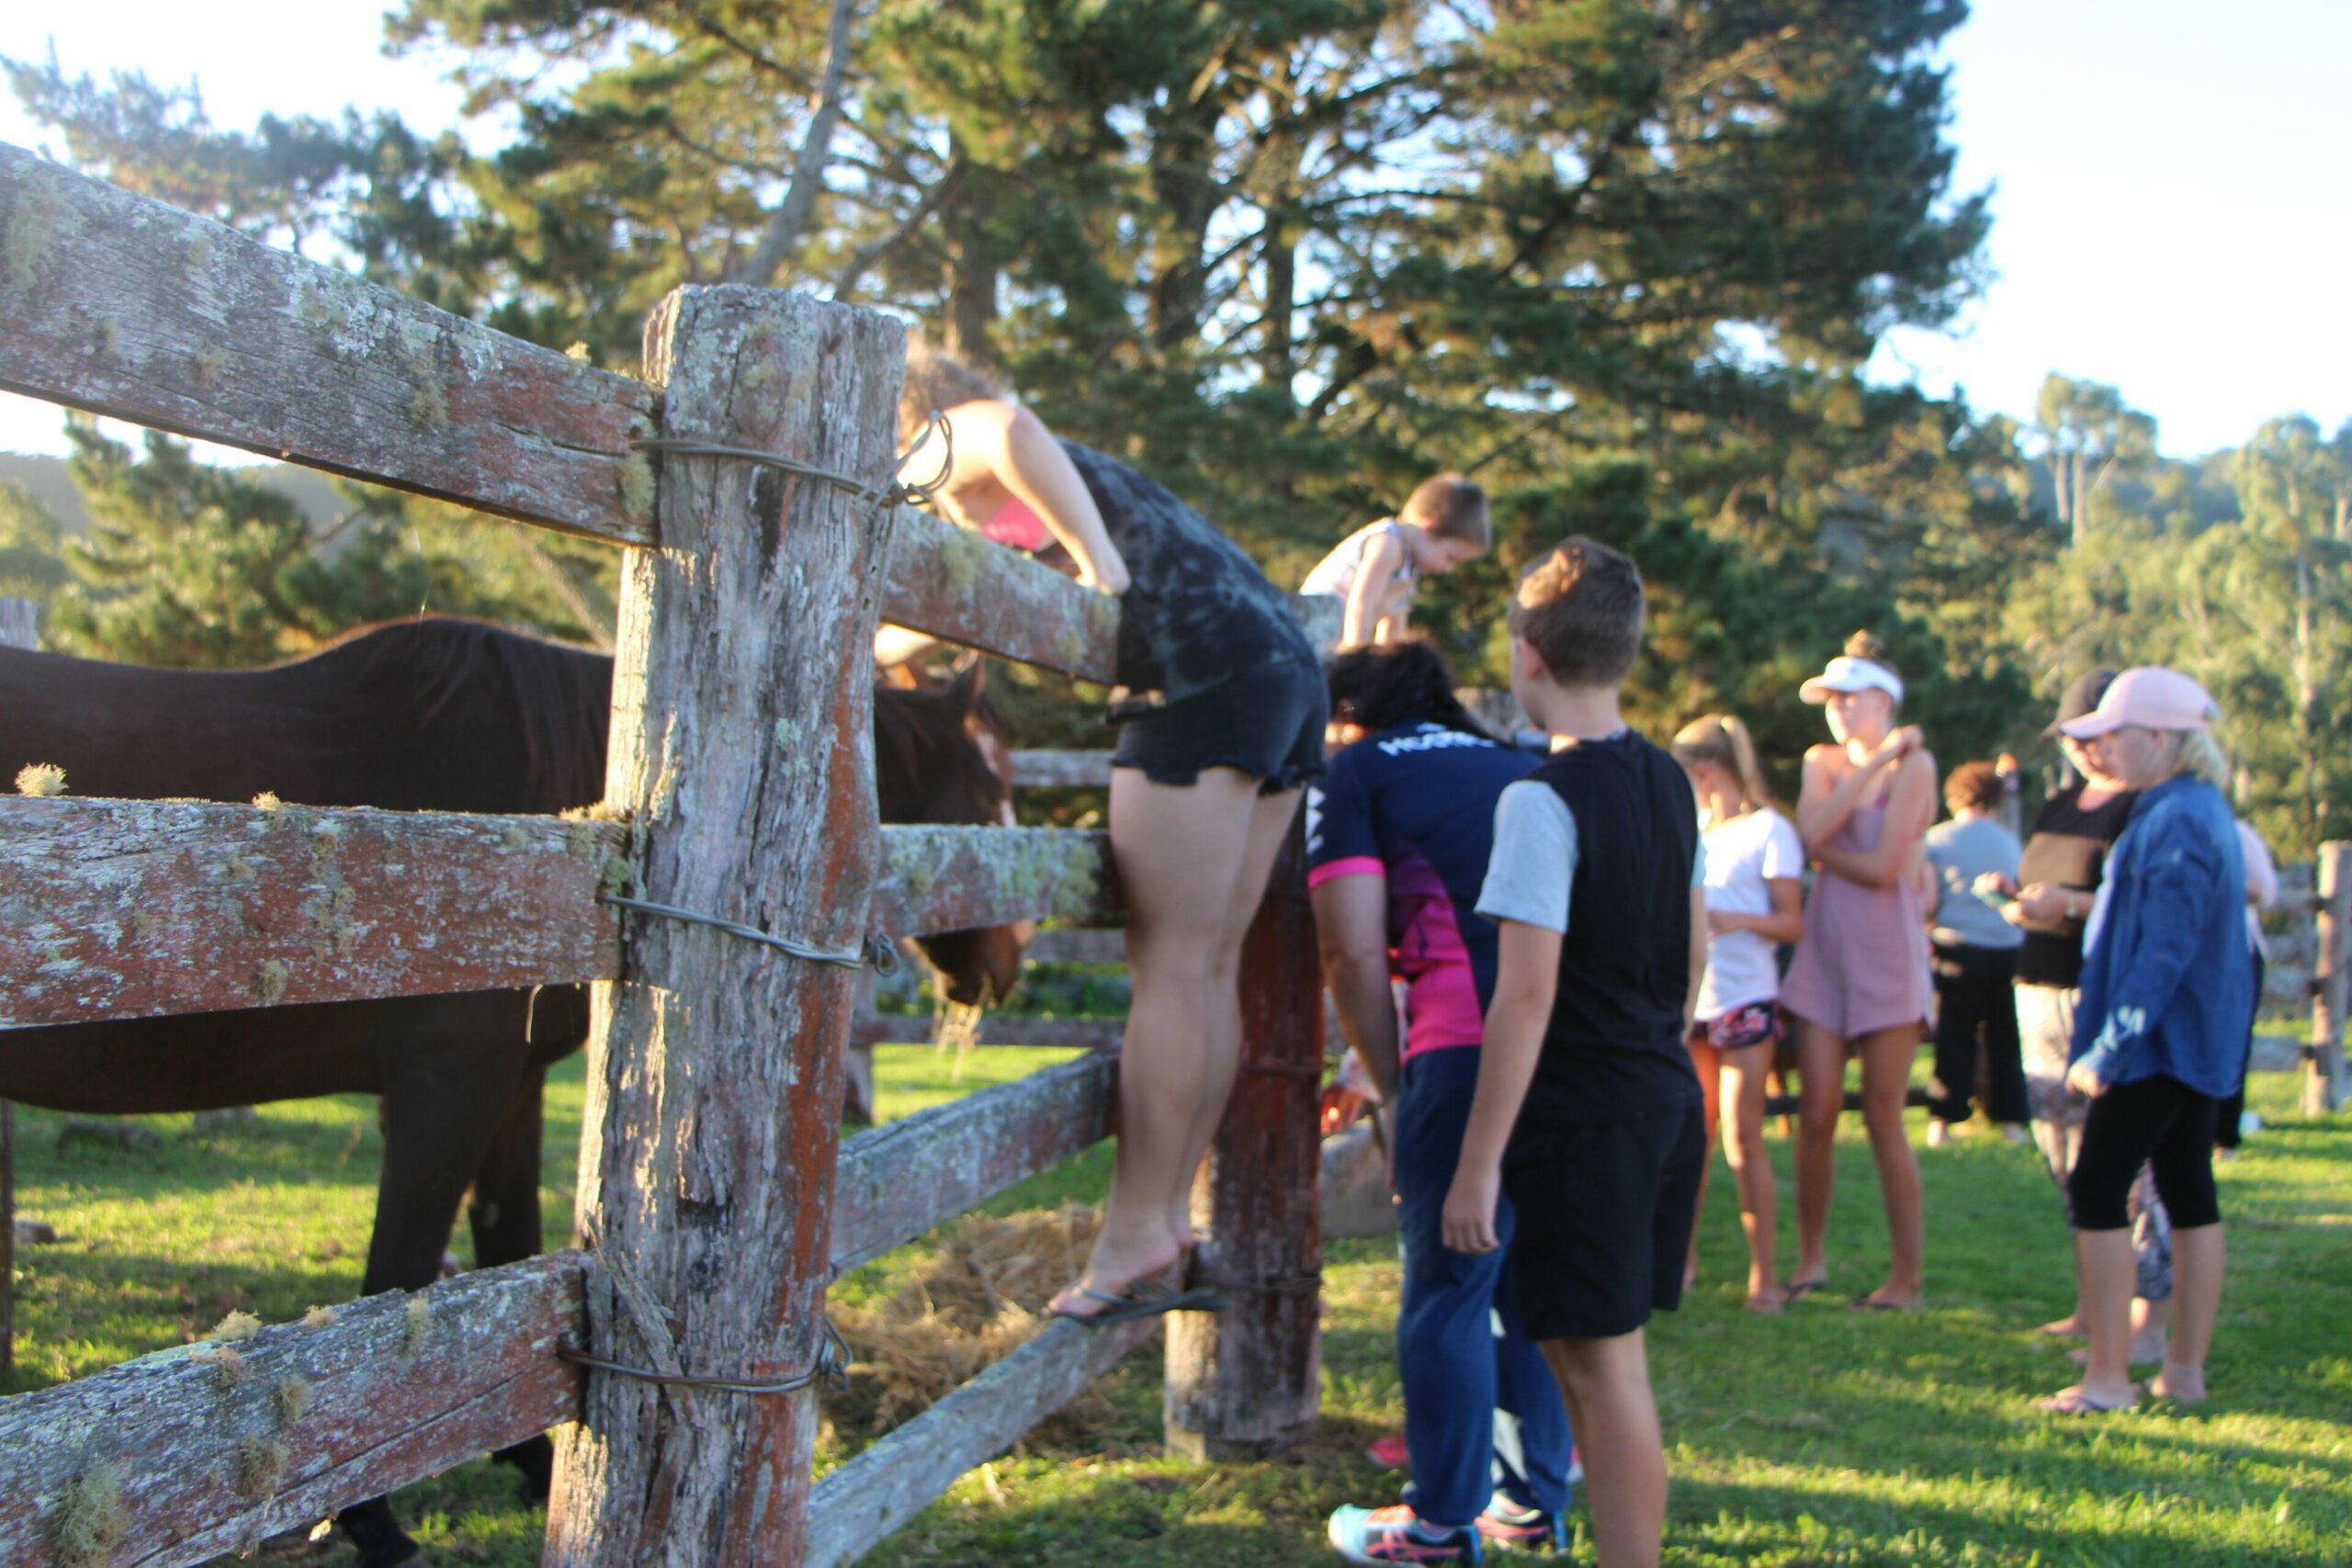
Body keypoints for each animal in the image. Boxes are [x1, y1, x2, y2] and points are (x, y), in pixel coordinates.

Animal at [0, 615, 1015, 1568]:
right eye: (997, 785)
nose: (1007, 965)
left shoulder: (513, 1085)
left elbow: (507, 1241)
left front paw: (534, 1463)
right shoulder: (447, 1082)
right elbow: (402, 1281)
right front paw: (375, 1522)